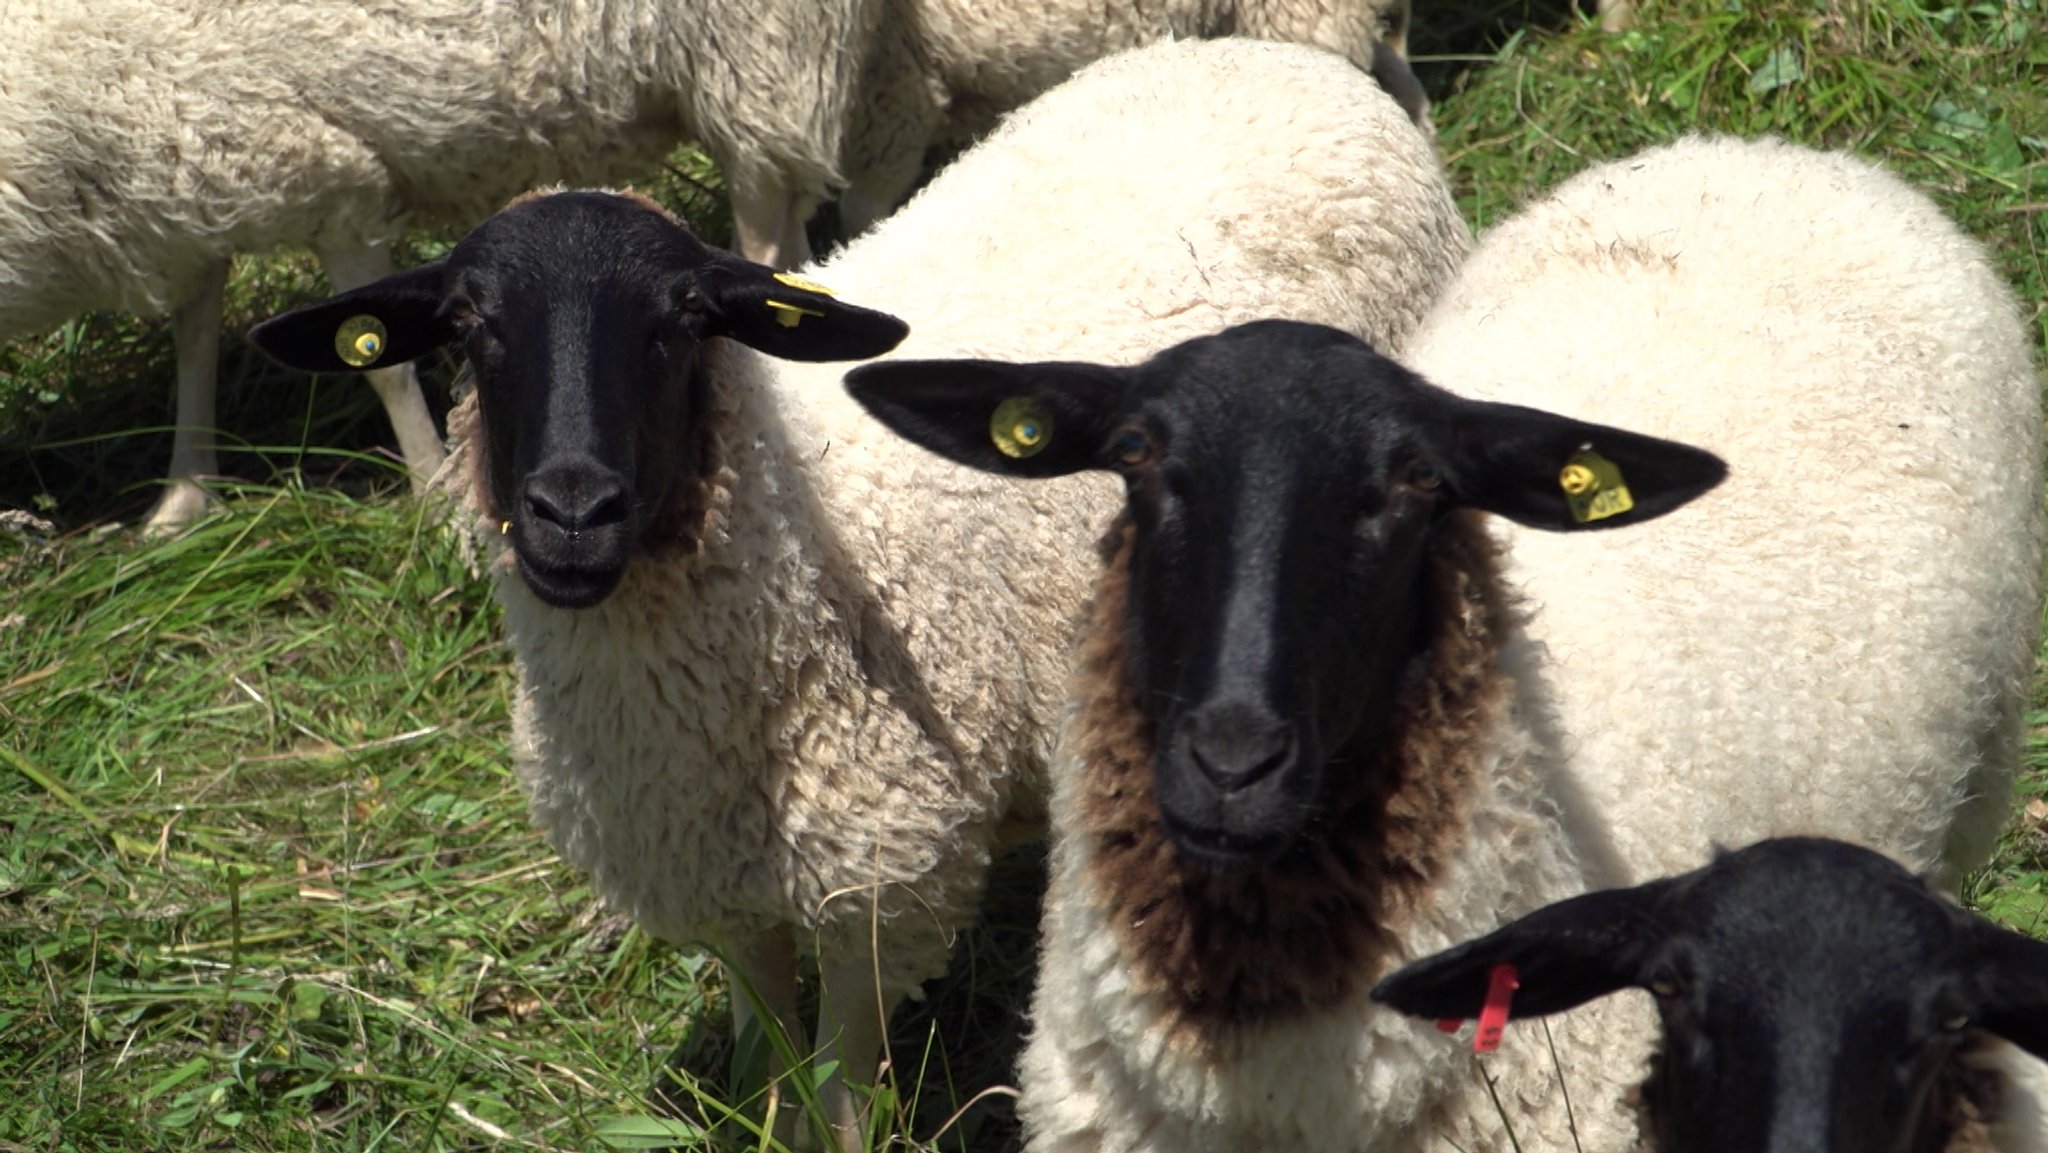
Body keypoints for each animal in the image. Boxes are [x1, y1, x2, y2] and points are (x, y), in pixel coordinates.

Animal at [247, 36, 1466, 1146]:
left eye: (683, 320)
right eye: (468, 323)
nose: (572, 509)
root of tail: (1282, 56)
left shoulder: (882, 885)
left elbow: (837, 1104)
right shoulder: (723, 882)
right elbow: (771, 1077)